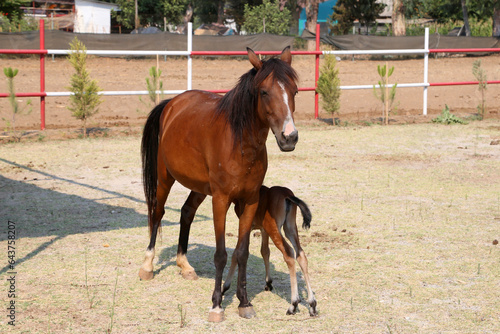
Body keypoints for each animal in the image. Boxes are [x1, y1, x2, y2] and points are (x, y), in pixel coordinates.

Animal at [139, 47, 298, 320]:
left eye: (294, 91)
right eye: (264, 92)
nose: (289, 137)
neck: (240, 144)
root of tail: (172, 104)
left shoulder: (250, 201)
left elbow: (242, 252)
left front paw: (244, 302)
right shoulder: (221, 200)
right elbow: (221, 254)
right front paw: (216, 304)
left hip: (199, 187)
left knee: (186, 212)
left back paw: (184, 265)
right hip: (164, 177)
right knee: (157, 213)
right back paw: (148, 265)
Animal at [223, 187, 316, 318]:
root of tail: (287, 195)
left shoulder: (248, 226)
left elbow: (237, 252)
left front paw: (225, 287)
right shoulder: (263, 229)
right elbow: (265, 251)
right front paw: (268, 283)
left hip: (273, 227)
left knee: (288, 253)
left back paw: (293, 304)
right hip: (289, 227)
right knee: (300, 254)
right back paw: (312, 304)